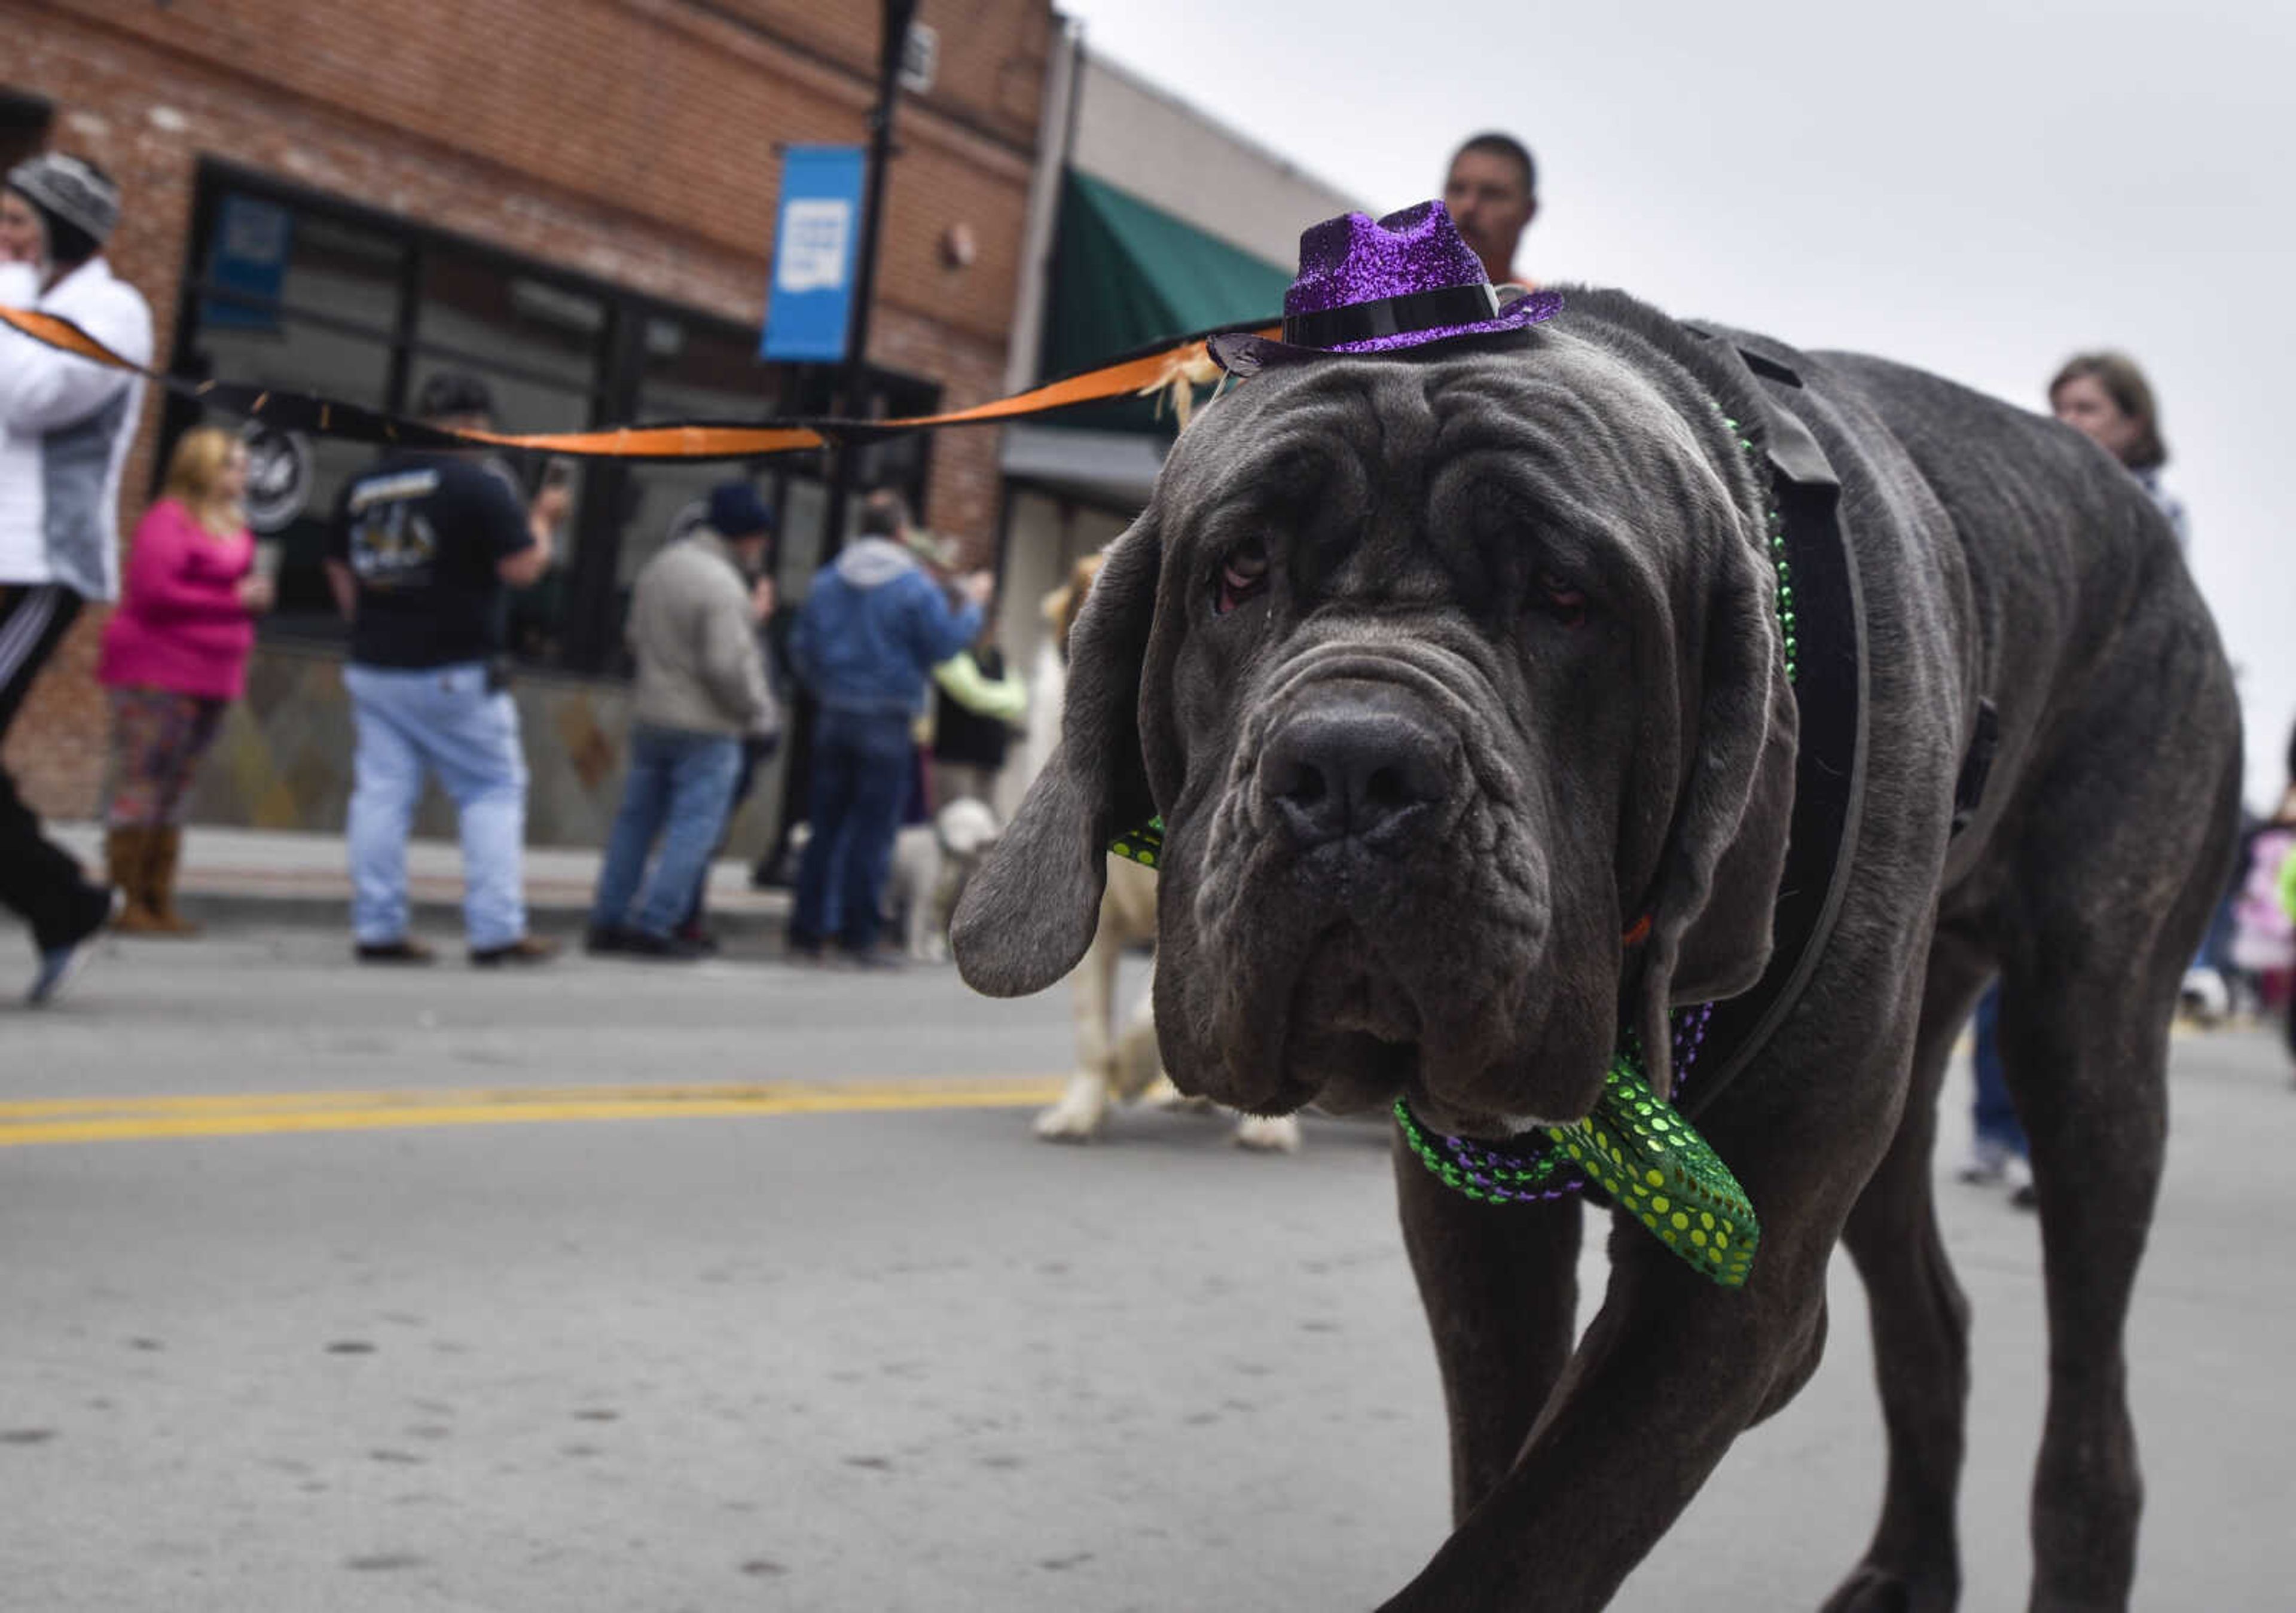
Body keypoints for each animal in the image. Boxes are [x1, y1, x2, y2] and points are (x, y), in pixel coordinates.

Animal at [946, 201, 2222, 1613]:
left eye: (1568, 599)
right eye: (1237, 572)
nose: (1352, 768)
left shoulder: (1729, 1291)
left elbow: (1520, 1544)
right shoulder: (1475, 1223)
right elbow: (1498, 1465)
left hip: (2088, 1051)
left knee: (2092, 1415)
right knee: (1930, 1318)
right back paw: (1903, 1565)